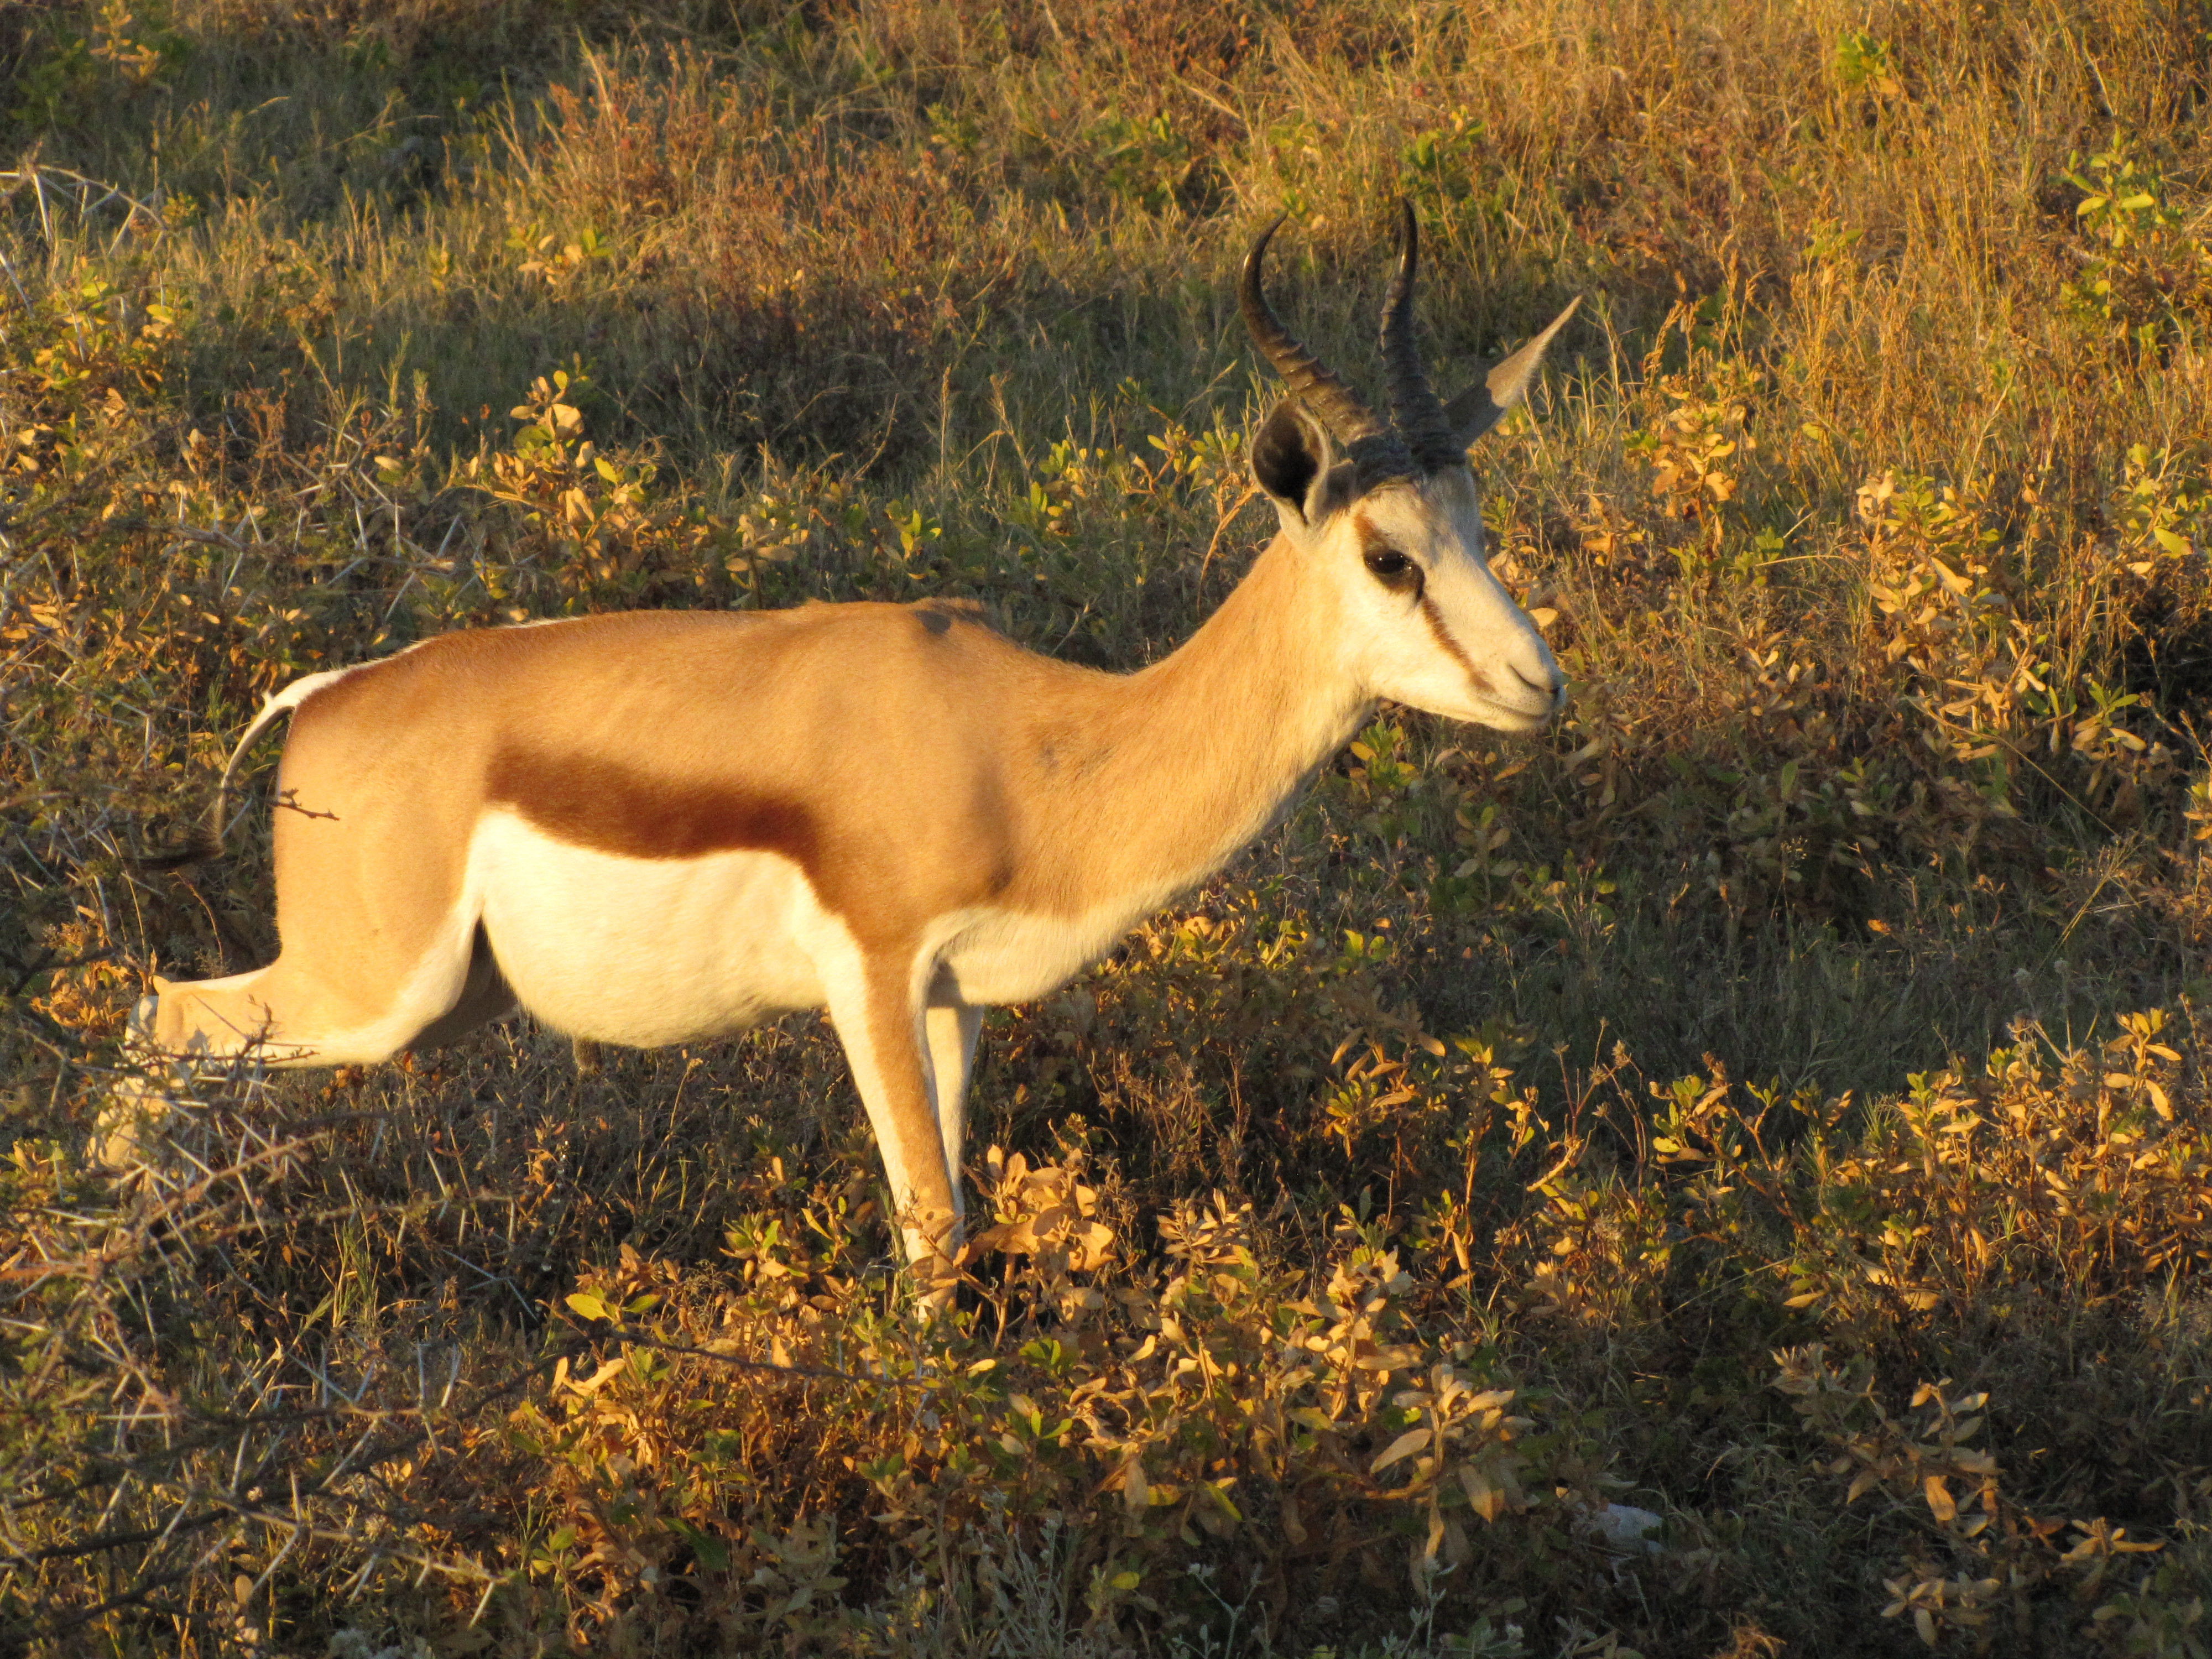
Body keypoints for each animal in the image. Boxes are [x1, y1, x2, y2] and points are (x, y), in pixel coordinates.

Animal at [134, 208, 1575, 1292]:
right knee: (162, 1021)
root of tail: (328, 694)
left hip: (450, 1001)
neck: (1027, 741)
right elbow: (929, 1228)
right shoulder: (870, 975)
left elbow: (953, 1216)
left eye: (1473, 522)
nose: (1536, 684)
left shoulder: (952, 1002)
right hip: (376, 993)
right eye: (1387, 556)